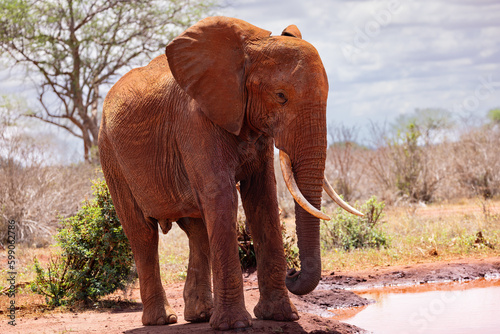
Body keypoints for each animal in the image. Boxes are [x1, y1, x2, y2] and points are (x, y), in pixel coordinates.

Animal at [98, 16, 364, 332]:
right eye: (281, 97)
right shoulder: (195, 122)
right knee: (142, 233)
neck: (247, 52)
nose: (293, 272)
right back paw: (162, 320)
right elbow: (222, 197)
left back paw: (201, 315)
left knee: (198, 230)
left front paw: (280, 316)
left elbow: (262, 198)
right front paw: (235, 325)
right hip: (110, 156)